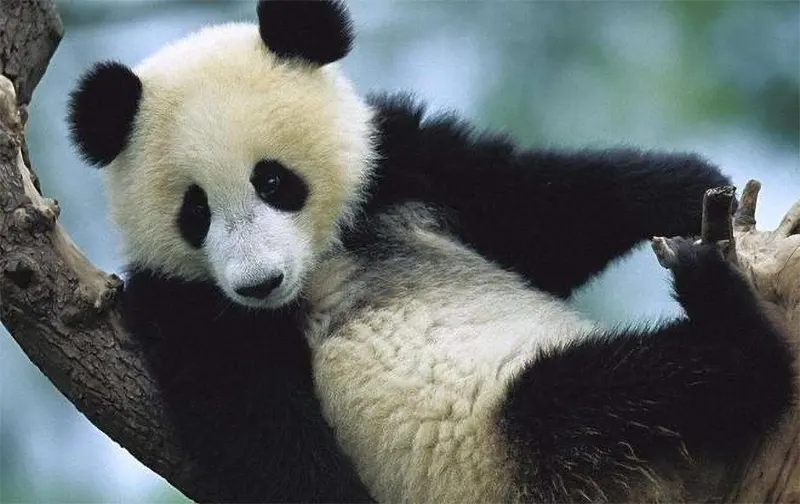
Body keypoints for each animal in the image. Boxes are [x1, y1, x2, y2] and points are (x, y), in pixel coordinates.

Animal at [67, 1, 795, 503]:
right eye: (195, 212)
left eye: (272, 181)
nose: (258, 283)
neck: (325, 257)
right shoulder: (188, 308)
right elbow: (264, 435)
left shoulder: (403, 168)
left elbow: (542, 211)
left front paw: (697, 189)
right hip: (524, 450)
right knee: (629, 391)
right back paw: (717, 307)